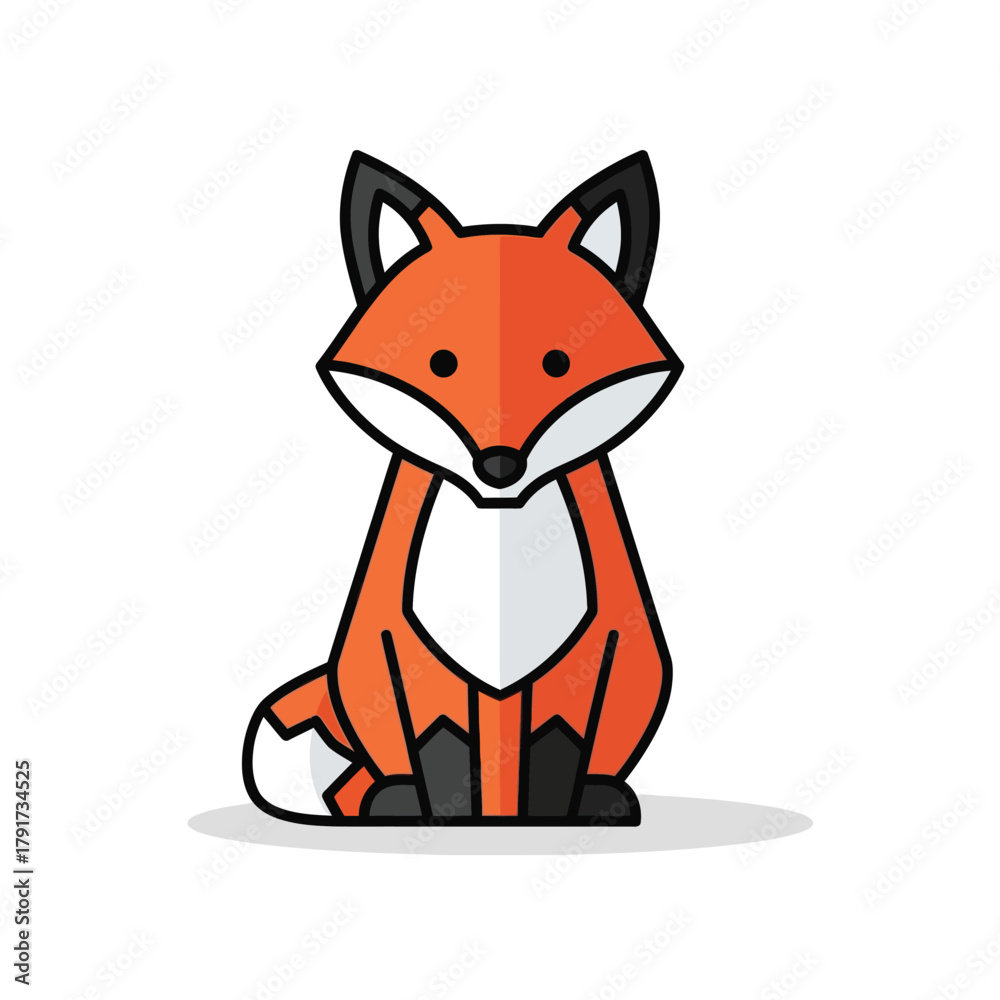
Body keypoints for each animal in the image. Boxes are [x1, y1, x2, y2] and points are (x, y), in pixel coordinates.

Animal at [242, 150, 683, 825]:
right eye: (442, 363)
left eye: (560, 363)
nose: (499, 465)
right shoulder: (405, 652)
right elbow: (440, 744)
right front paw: (439, 813)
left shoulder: (594, 653)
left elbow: (558, 744)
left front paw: (554, 812)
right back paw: (386, 796)